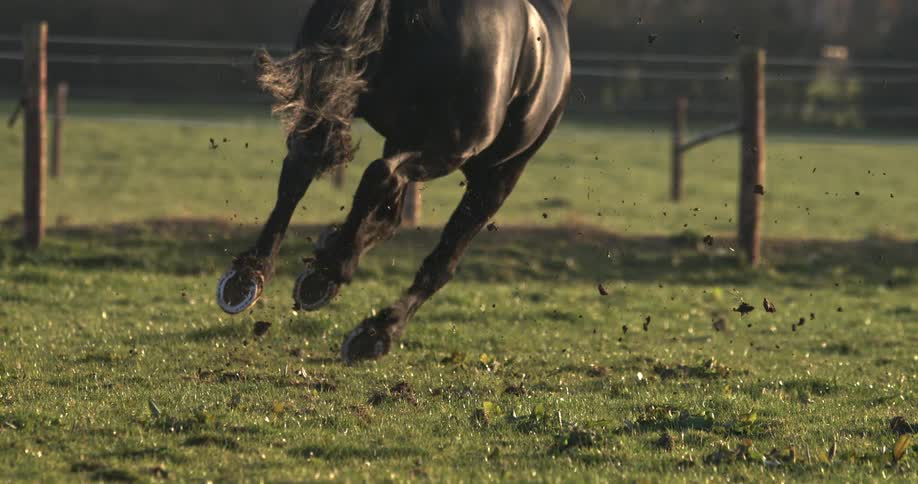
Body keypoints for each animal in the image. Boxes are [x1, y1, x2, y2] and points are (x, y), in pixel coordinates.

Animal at [216, 0, 573, 362]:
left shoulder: (401, 138)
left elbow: (387, 219)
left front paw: (326, 250)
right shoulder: (498, 176)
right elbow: (441, 261)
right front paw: (378, 330)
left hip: (338, 103)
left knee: (304, 165)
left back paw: (251, 274)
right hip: (452, 147)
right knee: (379, 175)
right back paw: (341, 284)